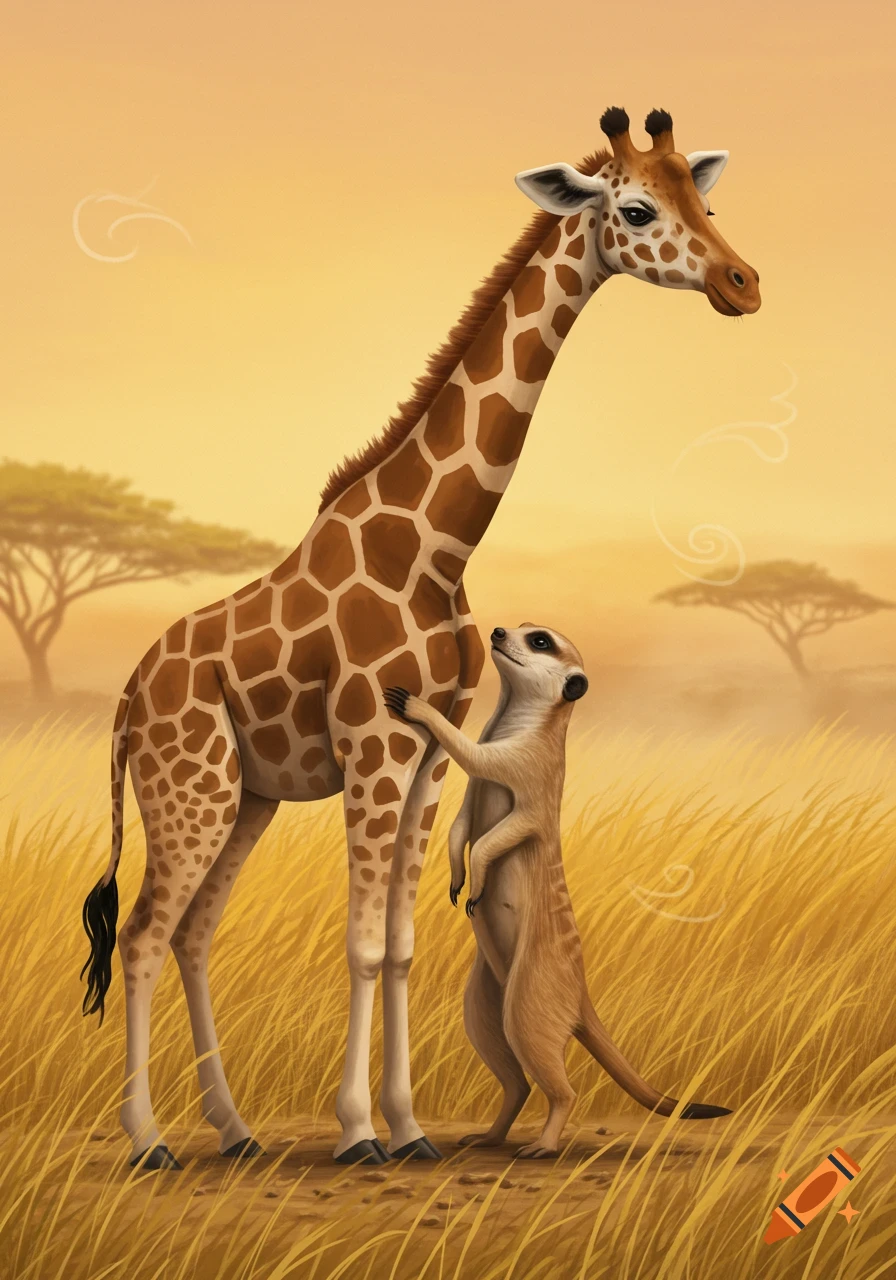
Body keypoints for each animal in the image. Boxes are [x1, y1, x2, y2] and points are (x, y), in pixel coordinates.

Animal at [80, 105, 761, 1171]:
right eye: (638, 209)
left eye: (709, 201)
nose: (744, 285)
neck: (432, 547)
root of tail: (125, 699)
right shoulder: (374, 747)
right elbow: (363, 942)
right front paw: (360, 1132)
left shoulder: (430, 757)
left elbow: (401, 943)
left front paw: (406, 1128)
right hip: (187, 789)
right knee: (147, 931)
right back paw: (151, 1140)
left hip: (246, 798)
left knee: (192, 933)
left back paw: (234, 1129)